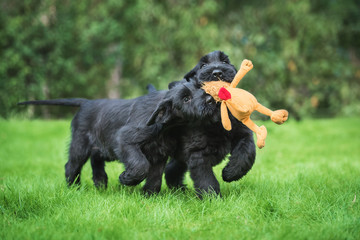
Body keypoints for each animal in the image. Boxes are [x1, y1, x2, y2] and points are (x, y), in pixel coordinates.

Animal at [19, 80, 217, 195]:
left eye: (199, 88)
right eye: (185, 99)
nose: (210, 100)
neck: (166, 126)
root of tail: (86, 103)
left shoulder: (159, 154)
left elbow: (154, 177)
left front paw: (148, 195)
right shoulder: (124, 140)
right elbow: (140, 165)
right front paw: (126, 179)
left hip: (101, 148)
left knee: (96, 159)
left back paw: (100, 182)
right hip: (80, 145)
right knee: (72, 165)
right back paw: (74, 187)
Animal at [163, 51, 256, 197]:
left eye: (224, 62)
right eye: (203, 65)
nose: (217, 73)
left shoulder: (243, 133)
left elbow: (246, 153)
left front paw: (231, 173)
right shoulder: (198, 152)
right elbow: (206, 178)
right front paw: (212, 198)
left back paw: (178, 189)